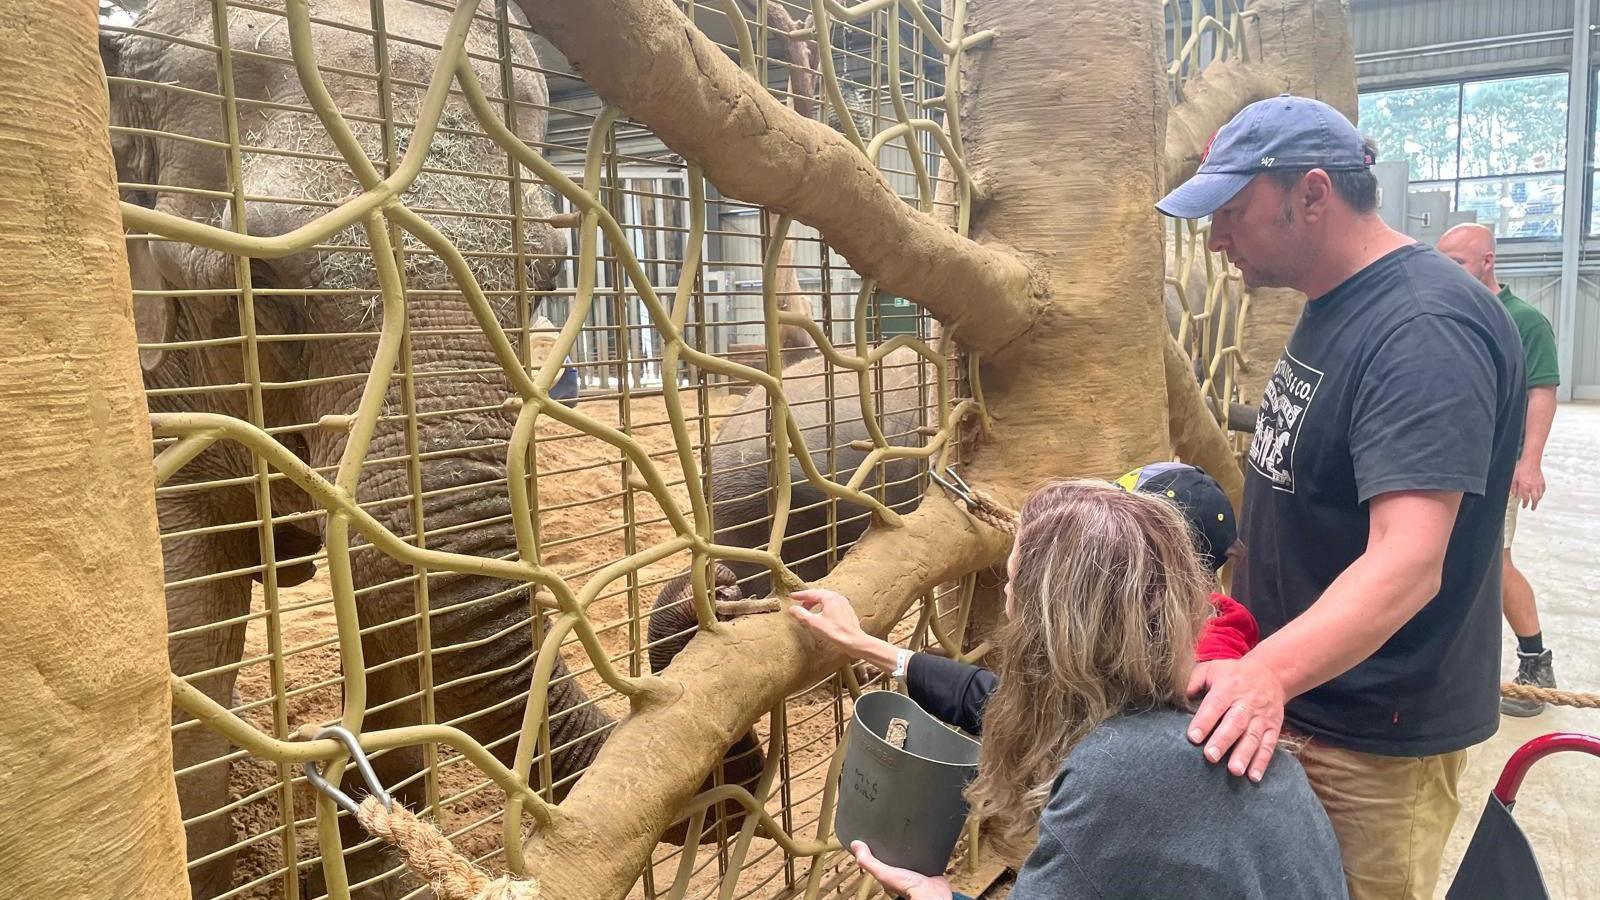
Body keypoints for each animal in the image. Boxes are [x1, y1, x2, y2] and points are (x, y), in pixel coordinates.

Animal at [103, 3, 732, 890]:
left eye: (545, 278)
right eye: (267, 282)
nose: (710, 594)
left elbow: (392, 620)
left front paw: (381, 875)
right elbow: (188, 637)